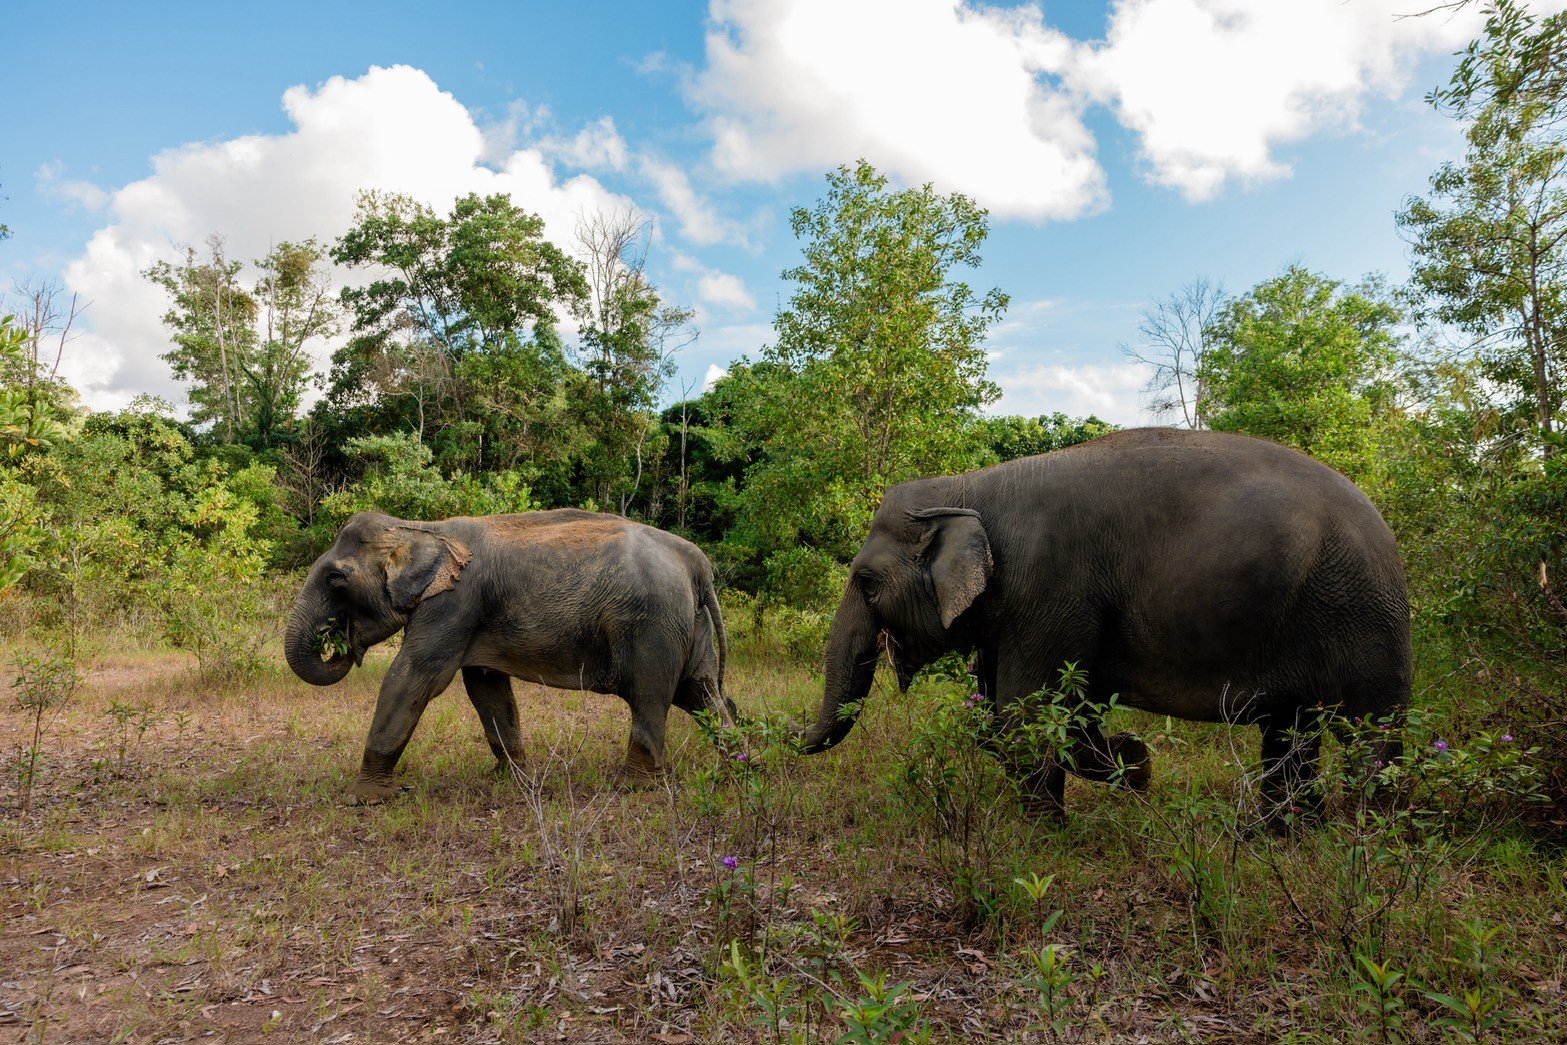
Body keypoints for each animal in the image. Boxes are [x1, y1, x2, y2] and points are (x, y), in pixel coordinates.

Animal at [284, 509, 736, 804]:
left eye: (336, 578)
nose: (339, 640)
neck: (423, 528)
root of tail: (696, 562)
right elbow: (485, 687)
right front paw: (513, 778)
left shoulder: (454, 602)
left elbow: (416, 677)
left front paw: (361, 798)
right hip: (688, 627)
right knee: (701, 693)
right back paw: (740, 765)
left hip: (651, 627)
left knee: (651, 697)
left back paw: (633, 787)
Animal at [797, 428, 1411, 828]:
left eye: (866, 582)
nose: (785, 737)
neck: (970, 489)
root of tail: (1385, 529)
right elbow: (1015, 717)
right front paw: (1132, 763)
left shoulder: (1050, 586)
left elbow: (1023, 714)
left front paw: (1056, 829)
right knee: (1291, 735)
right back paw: (1288, 837)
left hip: (1362, 615)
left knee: (1374, 737)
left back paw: (1374, 843)